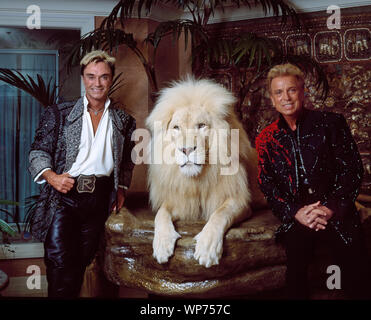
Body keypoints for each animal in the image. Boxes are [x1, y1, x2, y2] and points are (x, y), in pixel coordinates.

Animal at [146, 77, 262, 268]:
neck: (198, 178)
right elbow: (160, 214)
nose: (186, 149)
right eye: (176, 128)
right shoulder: (181, 201)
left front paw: (207, 249)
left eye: (201, 126)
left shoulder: (240, 201)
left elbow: (219, 215)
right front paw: (161, 245)